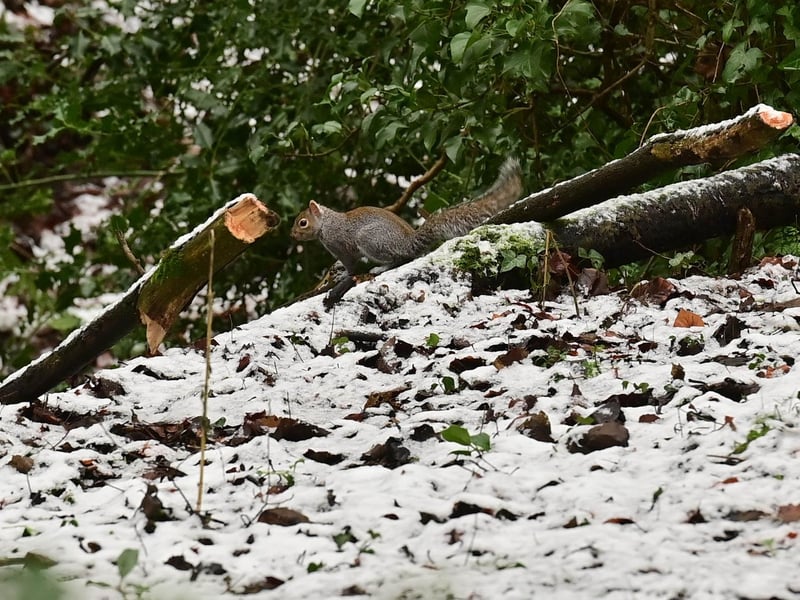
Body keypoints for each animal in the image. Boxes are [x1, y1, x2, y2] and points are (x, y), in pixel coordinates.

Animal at [291, 157, 523, 304]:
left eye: (302, 223)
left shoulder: (340, 244)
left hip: (370, 239)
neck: (326, 223)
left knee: (399, 258)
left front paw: (343, 276)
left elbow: (351, 265)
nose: (292, 235)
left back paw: (380, 268)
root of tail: (409, 241)